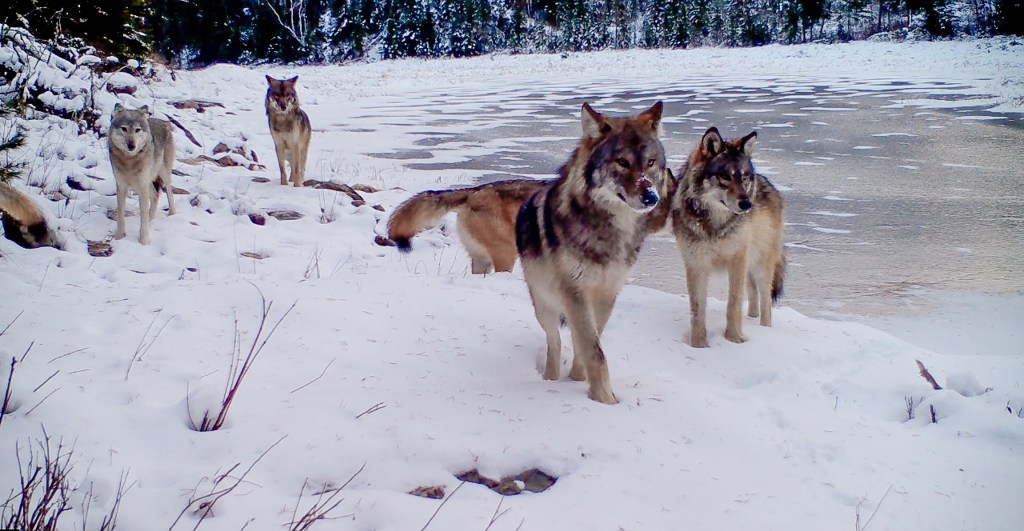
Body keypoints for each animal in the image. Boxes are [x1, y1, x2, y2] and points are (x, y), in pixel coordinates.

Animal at [108, 104, 176, 245]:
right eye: (124, 129)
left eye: (137, 130)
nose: (131, 146)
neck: (129, 161)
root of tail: (164, 122)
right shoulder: (121, 186)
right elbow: (120, 213)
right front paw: (119, 237)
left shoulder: (142, 186)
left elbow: (143, 214)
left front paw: (144, 240)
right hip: (145, 183)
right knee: (155, 195)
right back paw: (151, 220)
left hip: (163, 174)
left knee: (169, 192)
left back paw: (172, 214)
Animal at [516, 101, 671, 405]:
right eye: (622, 162)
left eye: (650, 162)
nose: (651, 198)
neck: (609, 233)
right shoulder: (575, 291)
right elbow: (594, 351)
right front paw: (606, 402)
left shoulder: (607, 293)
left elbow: (588, 345)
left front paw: (580, 381)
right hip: (544, 303)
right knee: (554, 341)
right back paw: (549, 379)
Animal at [670, 127, 785, 348]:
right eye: (725, 176)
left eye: (745, 177)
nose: (747, 204)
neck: (715, 224)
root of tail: (768, 183)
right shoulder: (696, 264)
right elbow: (697, 311)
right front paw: (698, 345)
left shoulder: (737, 260)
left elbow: (733, 303)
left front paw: (734, 339)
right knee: (753, 293)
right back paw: (751, 319)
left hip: (760, 265)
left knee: (766, 301)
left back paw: (765, 330)